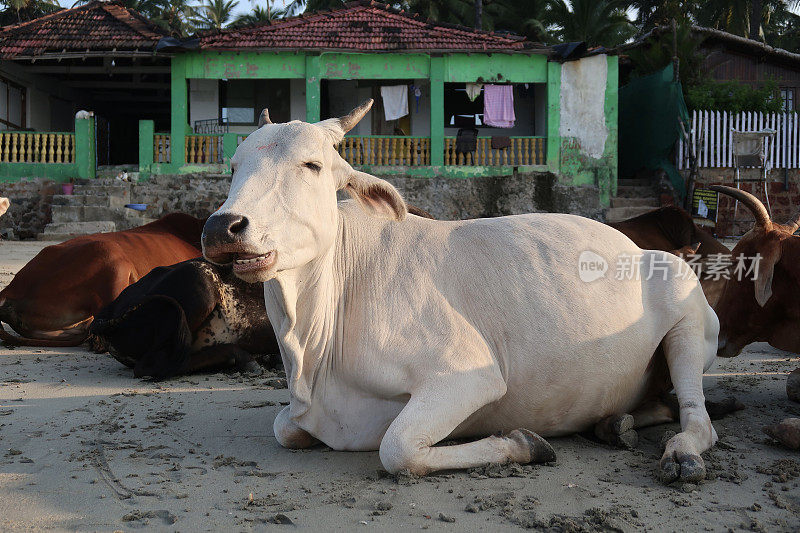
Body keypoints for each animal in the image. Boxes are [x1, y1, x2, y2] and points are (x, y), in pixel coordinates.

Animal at [202, 101, 720, 482]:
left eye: (311, 164)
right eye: (233, 165)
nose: (222, 227)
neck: (311, 344)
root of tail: (641, 249)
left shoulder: (469, 375)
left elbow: (397, 449)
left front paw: (524, 444)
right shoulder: (300, 413)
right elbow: (284, 428)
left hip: (689, 324)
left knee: (697, 416)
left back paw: (681, 455)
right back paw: (614, 424)